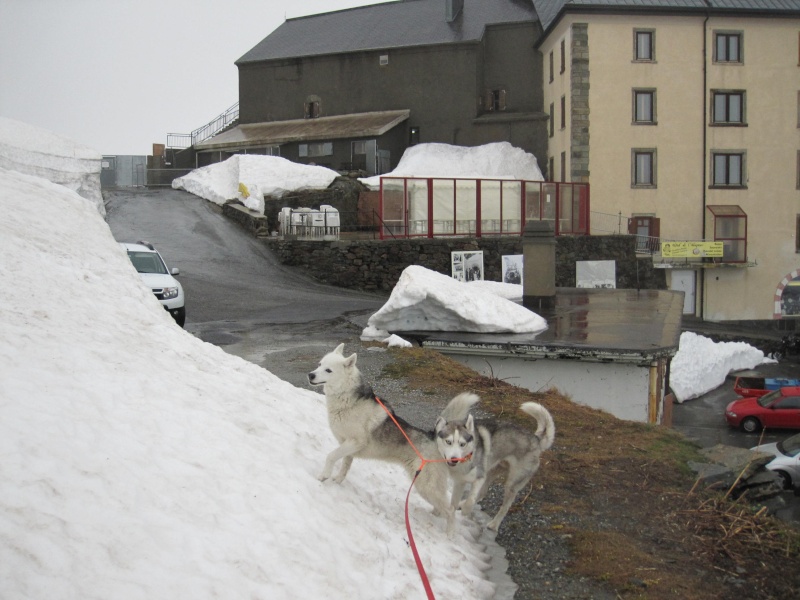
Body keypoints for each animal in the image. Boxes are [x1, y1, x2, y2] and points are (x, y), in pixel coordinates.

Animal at [306, 344, 456, 536]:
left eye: (328, 370)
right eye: (319, 364)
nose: (311, 375)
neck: (347, 399)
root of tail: (435, 441)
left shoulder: (355, 442)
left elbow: (331, 456)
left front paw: (324, 475)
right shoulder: (348, 446)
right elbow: (345, 465)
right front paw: (337, 480)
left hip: (427, 486)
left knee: (451, 511)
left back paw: (449, 534)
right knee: (442, 507)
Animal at [434, 396, 552, 532]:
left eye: (462, 444)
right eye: (448, 442)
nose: (454, 459)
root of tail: (536, 440)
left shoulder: (480, 477)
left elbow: (471, 499)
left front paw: (466, 510)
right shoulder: (460, 482)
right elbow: (455, 502)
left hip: (511, 484)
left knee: (504, 506)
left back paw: (494, 524)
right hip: (491, 472)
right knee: (482, 492)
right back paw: (462, 504)